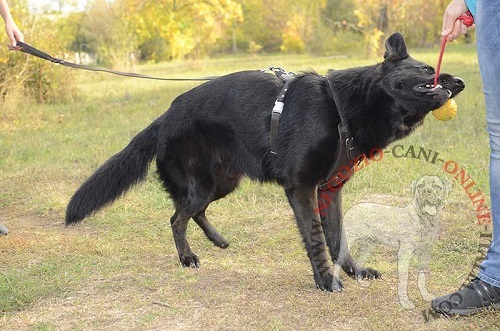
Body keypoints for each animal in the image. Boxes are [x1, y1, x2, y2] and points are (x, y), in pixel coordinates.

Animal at [65, 33, 464, 294]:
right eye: (426, 68)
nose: (459, 81)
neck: (342, 108)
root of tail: (165, 115)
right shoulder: (301, 188)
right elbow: (316, 238)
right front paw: (325, 280)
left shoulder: (329, 191)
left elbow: (339, 238)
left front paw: (354, 271)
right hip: (204, 184)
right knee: (177, 217)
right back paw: (187, 257)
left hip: (224, 183)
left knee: (193, 212)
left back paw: (217, 240)